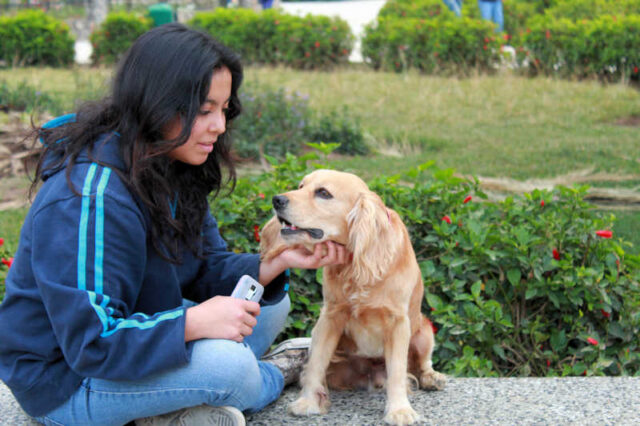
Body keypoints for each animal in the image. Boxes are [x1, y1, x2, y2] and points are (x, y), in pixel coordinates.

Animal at [260, 169, 444, 422]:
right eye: (300, 186)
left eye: (323, 193)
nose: (276, 200)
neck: (354, 264)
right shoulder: (329, 317)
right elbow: (316, 363)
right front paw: (308, 401)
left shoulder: (398, 322)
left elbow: (397, 371)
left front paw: (399, 410)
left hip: (425, 330)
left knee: (423, 363)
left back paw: (431, 378)